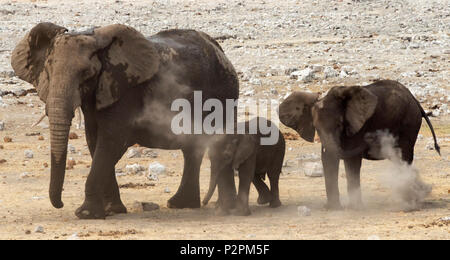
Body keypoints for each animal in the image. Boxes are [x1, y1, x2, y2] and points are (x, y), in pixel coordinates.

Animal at [10, 22, 239, 219]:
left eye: (86, 74)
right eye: (47, 72)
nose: (60, 204)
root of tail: (219, 50)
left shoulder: (125, 91)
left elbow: (110, 142)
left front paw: (86, 214)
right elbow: (94, 141)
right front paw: (112, 211)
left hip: (223, 95)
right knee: (192, 149)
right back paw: (180, 205)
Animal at [278, 80, 440, 210]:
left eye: (340, 124)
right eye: (316, 127)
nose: (370, 139)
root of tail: (414, 99)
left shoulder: (357, 127)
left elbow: (352, 161)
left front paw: (354, 208)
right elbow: (328, 159)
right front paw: (333, 208)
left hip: (410, 123)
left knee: (404, 156)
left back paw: (408, 201)